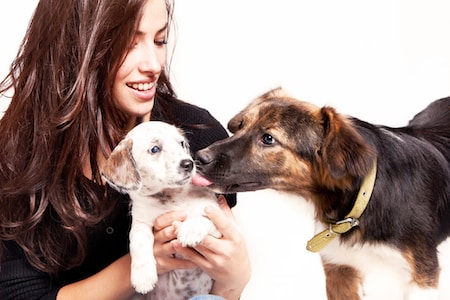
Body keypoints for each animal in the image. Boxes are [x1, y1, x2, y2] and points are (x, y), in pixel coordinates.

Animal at [101, 121, 222, 298]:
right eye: (155, 149)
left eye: (181, 143)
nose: (189, 163)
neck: (172, 195)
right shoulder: (140, 224)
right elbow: (138, 242)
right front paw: (143, 276)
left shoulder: (218, 220)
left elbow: (204, 216)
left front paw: (190, 230)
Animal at [194, 88, 450, 298]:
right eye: (241, 126)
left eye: (268, 138)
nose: (199, 157)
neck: (363, 199)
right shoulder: (339, 269)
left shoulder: (422, 278)